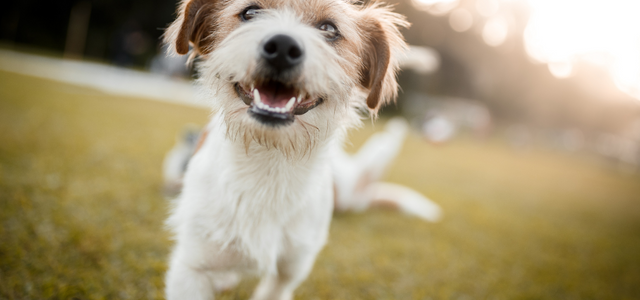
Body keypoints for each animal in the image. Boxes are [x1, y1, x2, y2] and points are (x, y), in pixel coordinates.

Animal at [161, 1, 440, 298]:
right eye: (250, 12)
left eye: (329, 28)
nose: (282, 47)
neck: (269, 160)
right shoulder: (192, 267)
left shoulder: (290, 270)